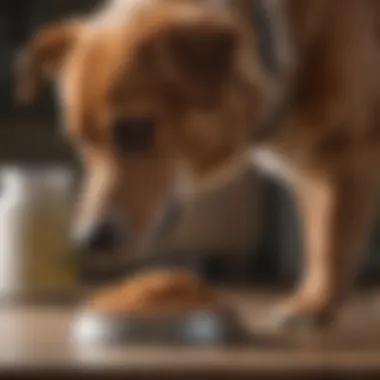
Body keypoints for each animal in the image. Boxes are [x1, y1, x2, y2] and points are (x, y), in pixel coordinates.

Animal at [17, 0, 380, 328]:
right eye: (79, 142)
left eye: (135, 129)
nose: (89, 240)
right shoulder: (312, 173)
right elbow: (318, 240)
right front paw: (315, 300)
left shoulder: (346, 161)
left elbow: (329, 243)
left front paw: (315, 306)